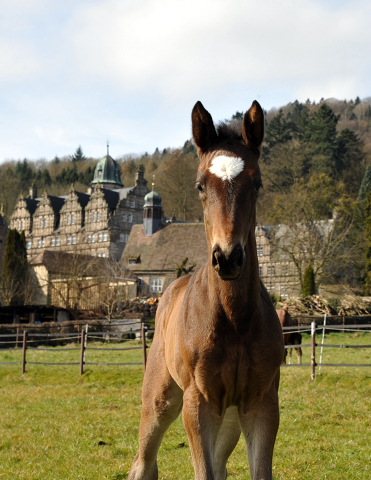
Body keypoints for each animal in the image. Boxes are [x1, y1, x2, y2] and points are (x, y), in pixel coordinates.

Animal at [128, 99, 284, 478]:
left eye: (257, 183)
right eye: (200, 185)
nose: (227, 258)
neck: (234, 318)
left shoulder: (262, 403)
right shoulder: (197, 403)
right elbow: (204, 472)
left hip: (229, 416)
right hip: (161, 400)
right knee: (143, 462)